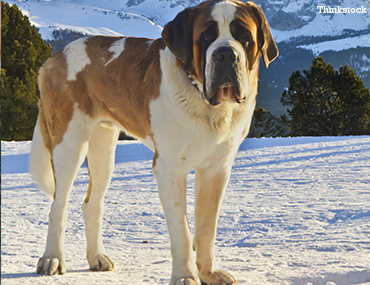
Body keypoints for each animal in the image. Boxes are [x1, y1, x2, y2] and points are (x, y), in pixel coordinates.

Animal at [29, 0, 278, 282]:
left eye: (244, 37)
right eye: (206, 37)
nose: (225, 54)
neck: (204, 101)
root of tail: (55, 57)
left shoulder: (216, 169)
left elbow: (206, 228)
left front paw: (209, 273)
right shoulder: (169, 168)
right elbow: (182, 230)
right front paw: (185, 276)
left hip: (103, 148)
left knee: (91, 203)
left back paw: (96, 258)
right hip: (69, 143)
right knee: (58, 205)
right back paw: (52, 258)